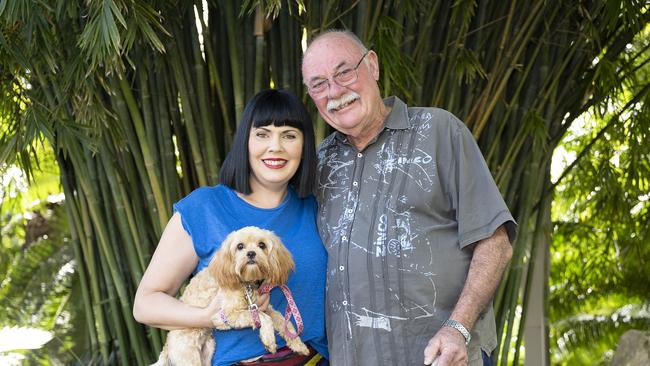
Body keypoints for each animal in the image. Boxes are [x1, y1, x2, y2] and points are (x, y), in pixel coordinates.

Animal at [156, 226, 310, 366]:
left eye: (262, 245)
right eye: (240, 246)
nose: (251, 253)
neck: (246, 284)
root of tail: (167, 346)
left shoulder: (263, 307)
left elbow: (283, 321)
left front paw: (298, 344)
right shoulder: (228, 314)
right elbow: (264, 318)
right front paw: (269, 340)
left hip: (208, 350)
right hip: (189, 357)